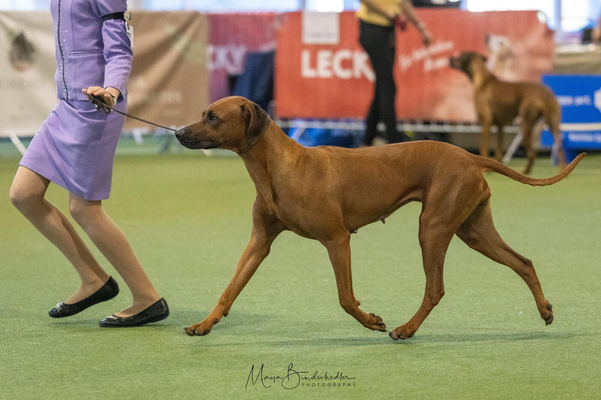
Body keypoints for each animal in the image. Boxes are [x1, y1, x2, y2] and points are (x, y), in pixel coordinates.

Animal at [176, 97, 584, 340]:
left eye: (212, 117)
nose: (179, 132)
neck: (280, 167)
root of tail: (471, 156)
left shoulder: (337, 239)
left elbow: (345, 298)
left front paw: (372, 320)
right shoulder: (259, 243)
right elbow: (229, 290)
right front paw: (205, 323)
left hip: (432, 228)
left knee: (435, 288)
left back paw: (406, 329)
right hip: (473, 230)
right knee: (524, 262)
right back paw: (545, 310)